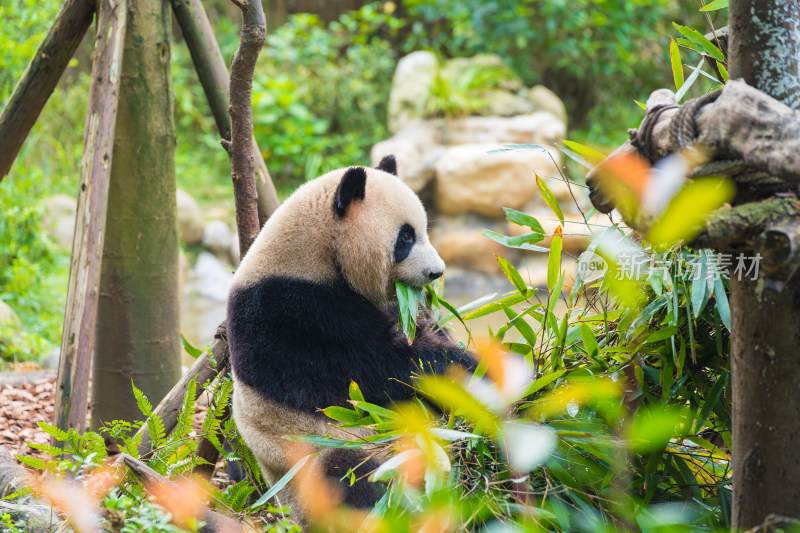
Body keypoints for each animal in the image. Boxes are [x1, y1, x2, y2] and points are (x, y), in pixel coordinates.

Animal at [227, 155, 476, 524]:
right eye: (406, 237)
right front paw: (470, 367)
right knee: (353, 478)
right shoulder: (293, 315)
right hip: (321, 452)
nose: (437, 272)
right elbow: (376, 370)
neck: (314, 255)